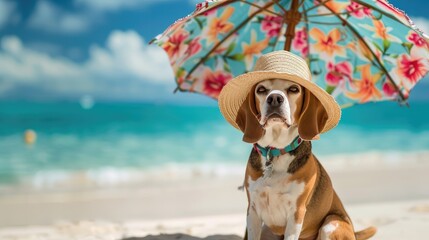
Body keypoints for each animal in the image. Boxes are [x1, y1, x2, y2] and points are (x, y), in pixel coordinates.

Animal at [239, 79, 376, 240]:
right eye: (261, 89)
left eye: (294, 89)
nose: (274, 99)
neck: (276, 152)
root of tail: (354, 232)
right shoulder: (253, 210)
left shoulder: (296, 213)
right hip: (267, 230)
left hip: (330, 224)